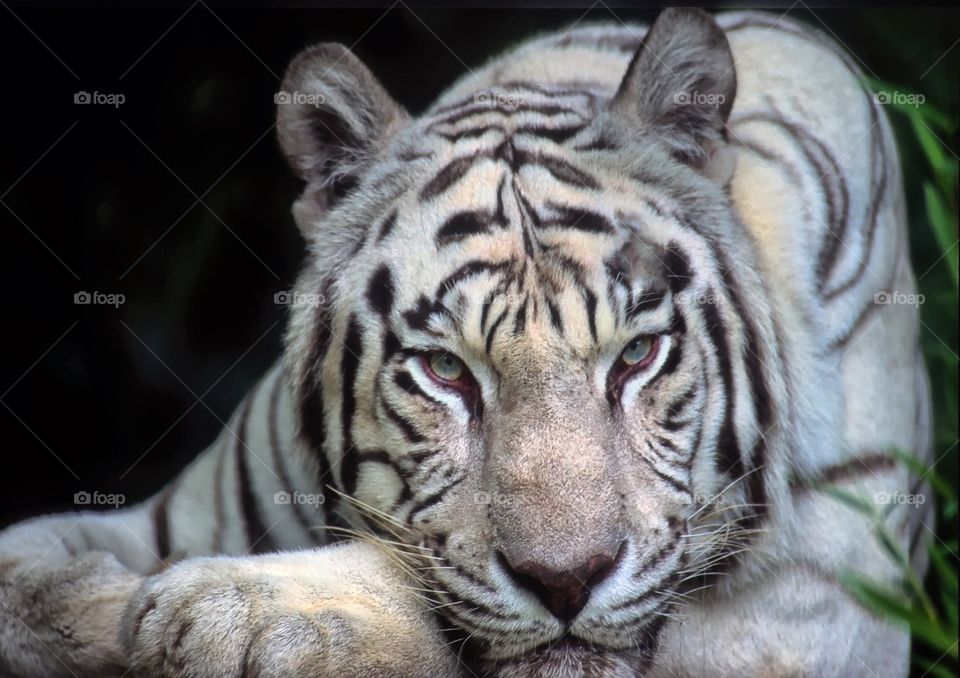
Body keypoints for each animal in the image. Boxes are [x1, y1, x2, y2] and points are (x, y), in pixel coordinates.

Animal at [0, 7, 933, 678]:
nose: (567, 579)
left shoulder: (810, 614)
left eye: (635, 356)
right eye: (446, 371)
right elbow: (35, 588)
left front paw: (237, 612)